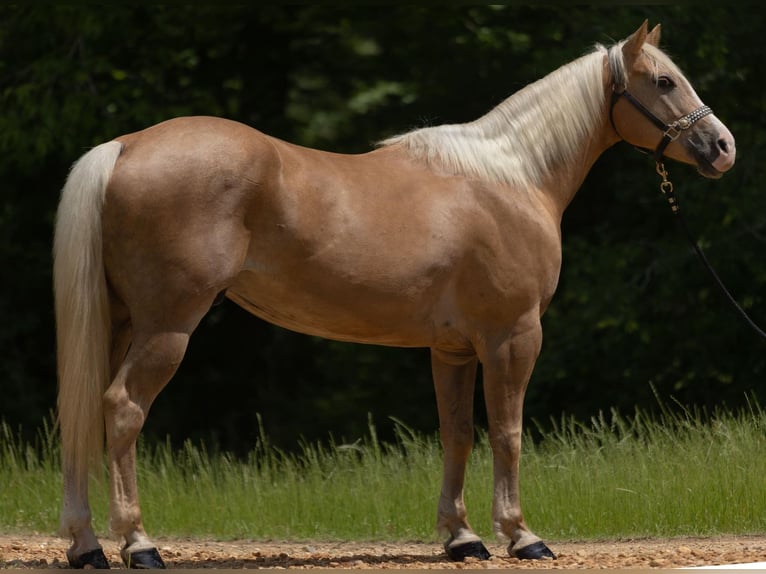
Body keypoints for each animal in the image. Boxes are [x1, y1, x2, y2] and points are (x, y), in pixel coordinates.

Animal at [55, 22, 736, 572]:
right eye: (664, 81)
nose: (723, 147)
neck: (511, 180)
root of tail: (126, 145)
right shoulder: (512, 337)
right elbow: (509, 431)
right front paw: (521, 536)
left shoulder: (453, 350)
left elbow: (458, 433)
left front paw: (462, 538)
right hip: (168, 327)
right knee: (121, 409)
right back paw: (139, 544)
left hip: (120, 323)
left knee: (85, 410)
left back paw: (86, 547)